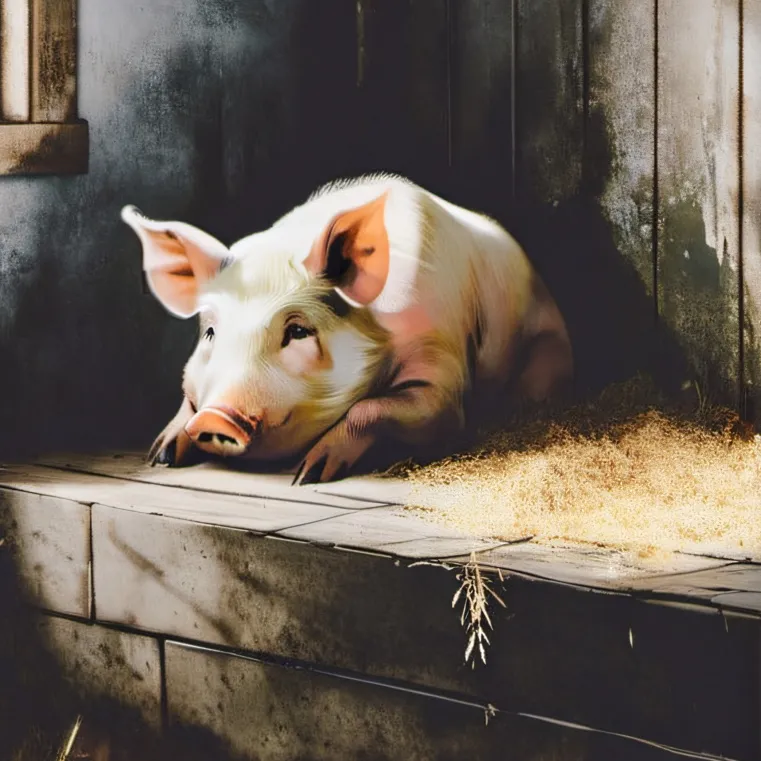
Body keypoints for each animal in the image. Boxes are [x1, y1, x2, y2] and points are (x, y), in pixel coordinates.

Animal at [122, 174, 573, 484]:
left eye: (298, 331)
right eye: (211, 333)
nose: (216, 418)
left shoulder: (443, 371)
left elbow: (379, 409)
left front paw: (307, 473)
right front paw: (159, 454)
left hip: (549, 351)